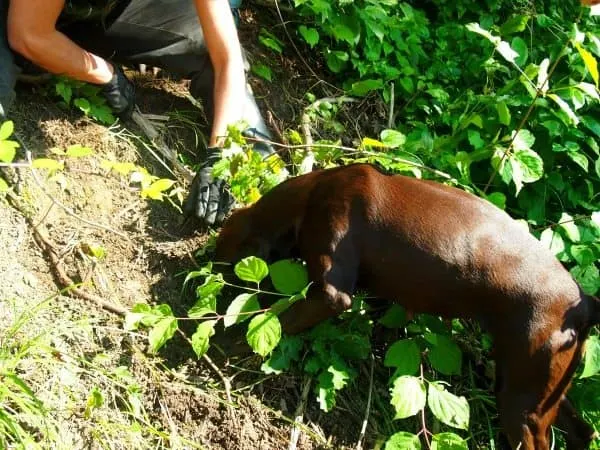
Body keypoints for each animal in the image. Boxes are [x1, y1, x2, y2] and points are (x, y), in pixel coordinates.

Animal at [216, 163, 600, 448]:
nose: (206, 258)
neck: (310, 194)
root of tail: (583, 302)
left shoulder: (332, 293)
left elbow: (274, 321)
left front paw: (228, 344)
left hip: (521, 403)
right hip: (535, 386)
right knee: (584, 432)